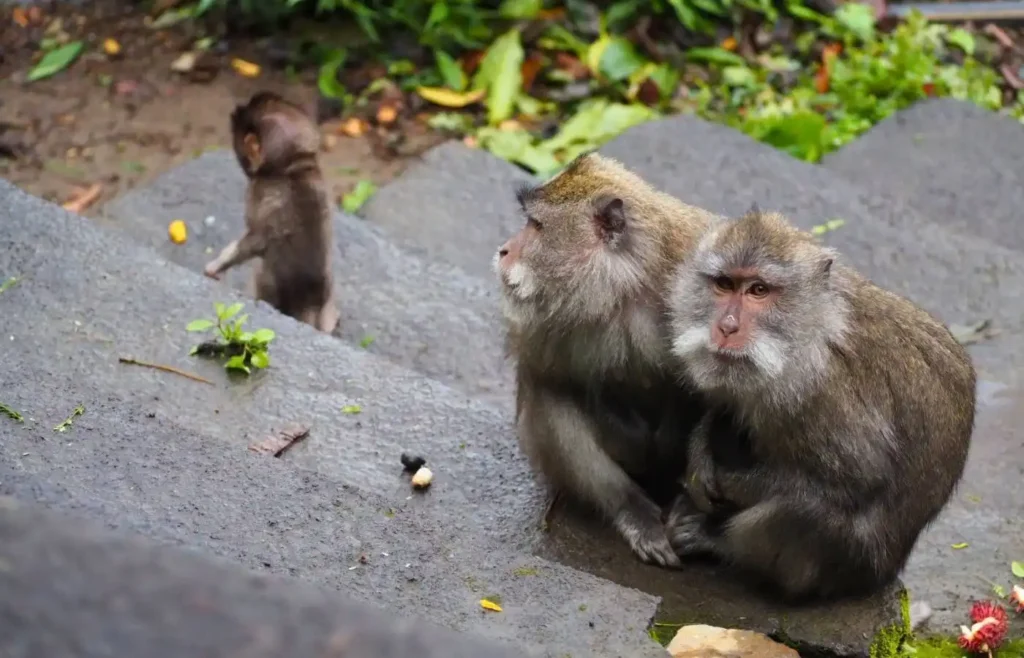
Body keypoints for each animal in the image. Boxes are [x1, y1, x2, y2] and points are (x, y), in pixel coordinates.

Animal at [204, 90, 338, 333]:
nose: (239, 107)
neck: (292, 167)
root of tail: (309, 305)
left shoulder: (258, 205)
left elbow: (249, 244)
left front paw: (215, 267)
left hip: (263, 277)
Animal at [493, 152, 722, 567]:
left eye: (536, 226)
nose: (504, 250)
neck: (625, 287)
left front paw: (698, 458)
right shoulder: (539, 328)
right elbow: (552, 385)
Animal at [663, 208, 976, 601]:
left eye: (759, 290)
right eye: (724, 284)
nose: (727, 327)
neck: (809, 334)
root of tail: (888, 569)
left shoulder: (825, 393)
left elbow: (852, 481)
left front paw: (726, 482)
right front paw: (699, 453)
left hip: (851, 567)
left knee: (803, 515)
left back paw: (718, 542)